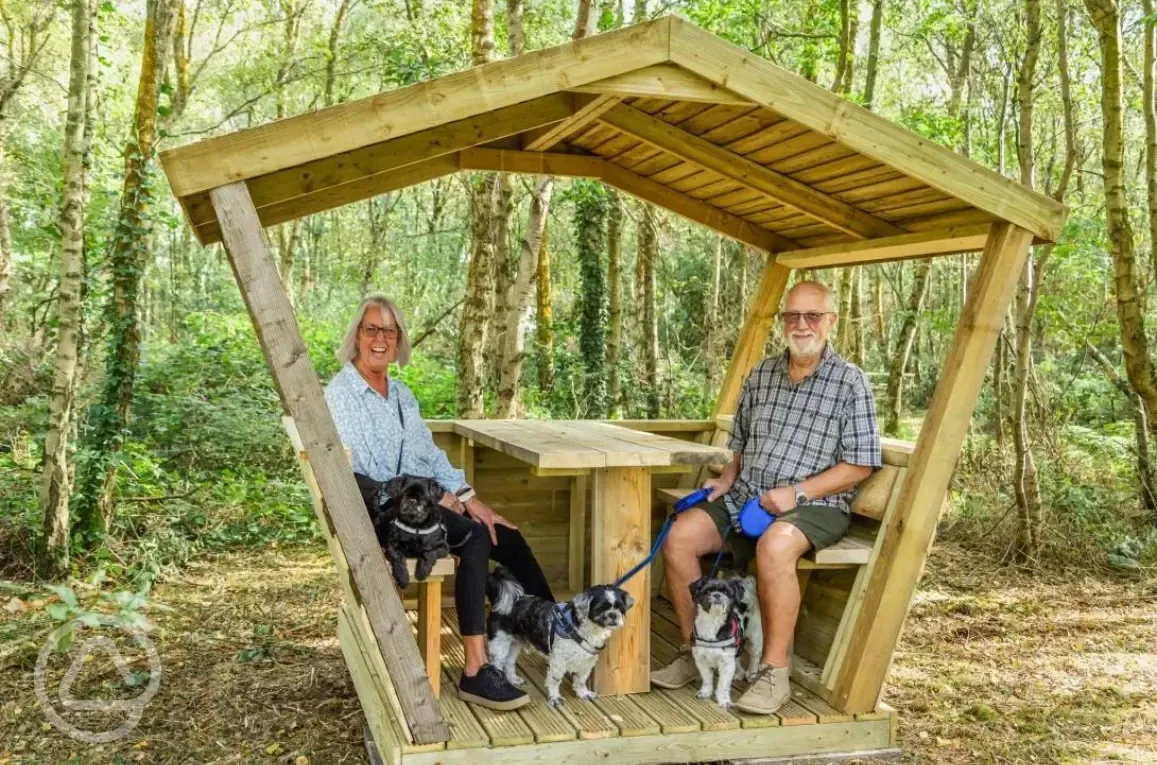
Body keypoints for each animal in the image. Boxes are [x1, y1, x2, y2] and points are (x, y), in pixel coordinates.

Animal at [485, 567, 638, 703]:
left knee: (509, 662)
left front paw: (583, 693)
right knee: (497, 663)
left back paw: (513, 679)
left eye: (620, 607)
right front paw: (554, 698)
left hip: (515, 643)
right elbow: (555, 679)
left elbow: (581, 679)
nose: (613, 615)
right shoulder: (558, 660)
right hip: (499, 643)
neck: (587, 630)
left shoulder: (587, 661)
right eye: (600, 608)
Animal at [689, 576, 763, 708]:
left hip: (755, 638)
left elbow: (723, 684)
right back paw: (739, 673)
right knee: (738, 657)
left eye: (726, 592)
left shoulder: (726, 662)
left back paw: (751, 674)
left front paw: (724, 700)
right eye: (707, 591)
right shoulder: (701, 659)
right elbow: (706, 678)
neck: (713, 622)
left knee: (755, 657)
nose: (717, 595)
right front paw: (705, 692)